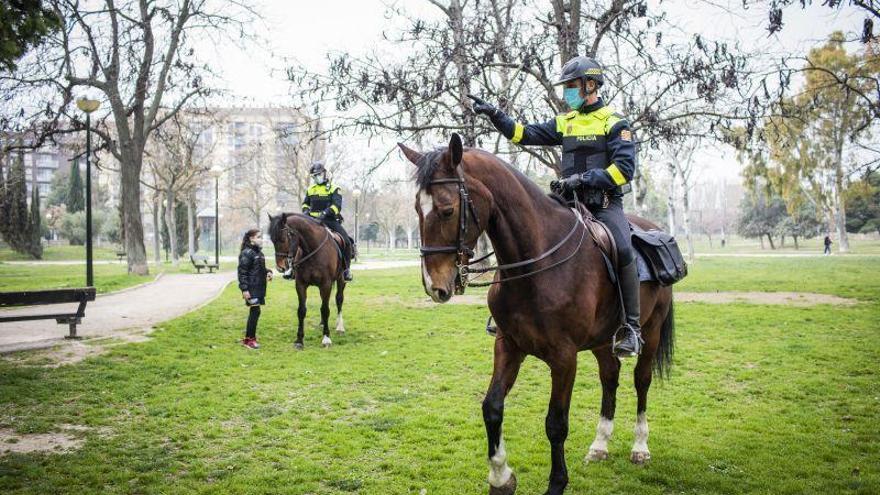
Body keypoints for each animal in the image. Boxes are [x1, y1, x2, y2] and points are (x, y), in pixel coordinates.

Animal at [268, 213, 348, 348]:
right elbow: (301, 310)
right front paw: (299, 340)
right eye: (272, 240)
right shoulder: (300, 285)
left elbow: (325, 310)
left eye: (283, 238)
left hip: (341, 280)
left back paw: (340, 326)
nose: (280, 267)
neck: (312, 251)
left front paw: (326, 338)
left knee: (339, 300)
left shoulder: (325, 285)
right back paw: (322, 323)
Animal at [398, 135, 672, 495]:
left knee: (642, 381)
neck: (536, 264)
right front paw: (501, 477)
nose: (434, 285)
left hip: (650, 332)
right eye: (417, 209)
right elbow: (492, 407)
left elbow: (556, 423)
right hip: (602, 342)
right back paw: (600, 445)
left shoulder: (564, 358)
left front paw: (556, 483)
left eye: (447, 210)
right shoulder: (508, 345)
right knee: (609, 378)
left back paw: (640, 447)